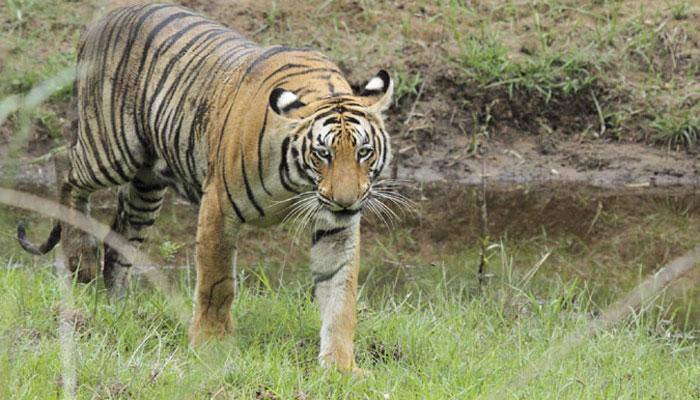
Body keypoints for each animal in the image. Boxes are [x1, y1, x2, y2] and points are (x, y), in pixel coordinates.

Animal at [16, 3, 394, 372]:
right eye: (322, 154)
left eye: (363, 152)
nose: (346, 201)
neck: (299, 183)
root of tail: (101, 19)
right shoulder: (220, 207)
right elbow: (217, 282)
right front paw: (211, 344)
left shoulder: (336, 227)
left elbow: (340, 294)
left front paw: (341, 366)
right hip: (110, 150)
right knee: (68, 175)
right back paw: (81, 261)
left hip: (146, 186)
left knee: (120, 237)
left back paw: (117, 305)